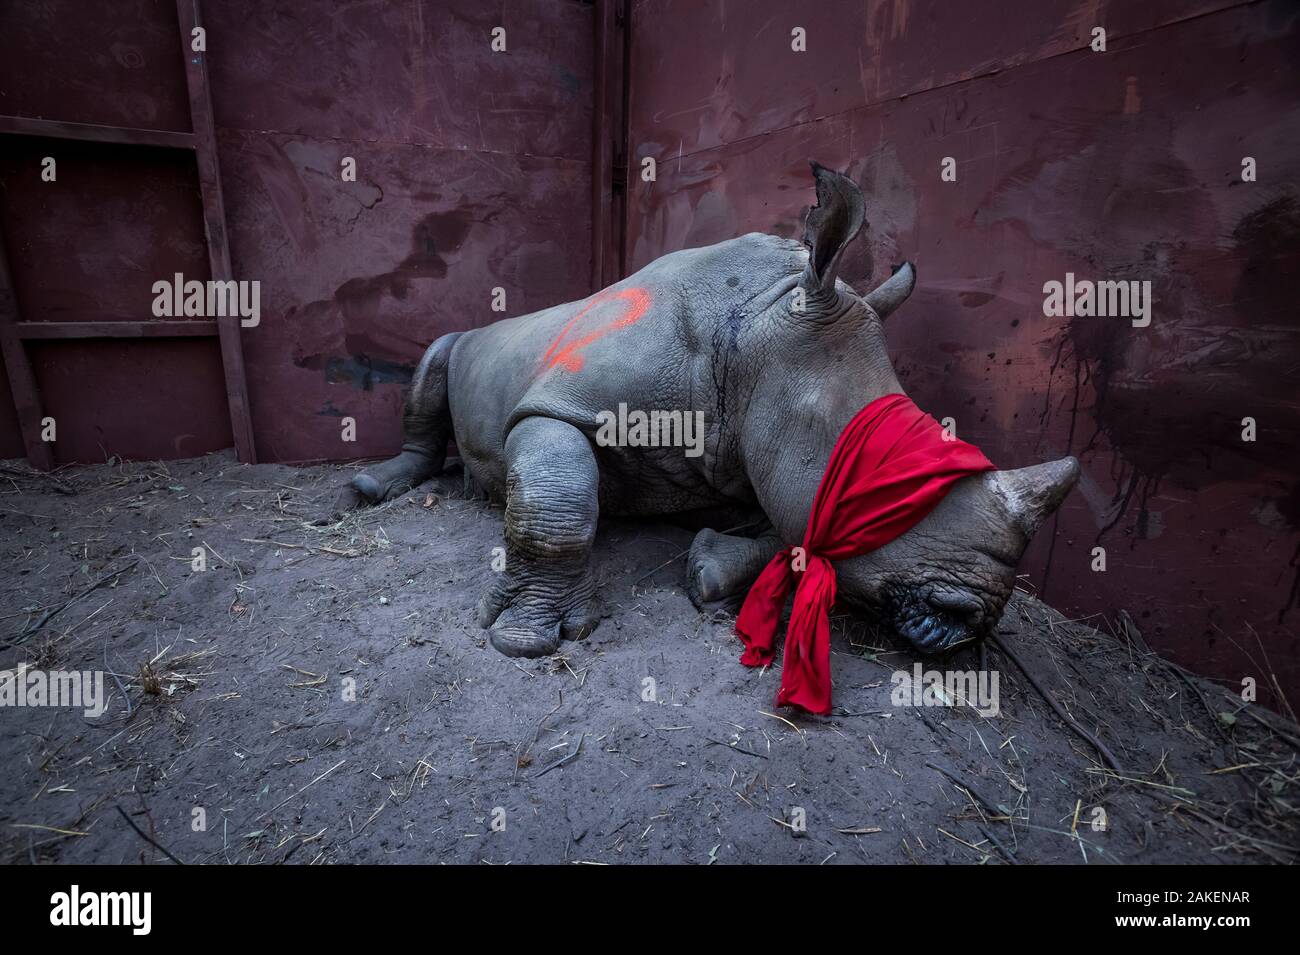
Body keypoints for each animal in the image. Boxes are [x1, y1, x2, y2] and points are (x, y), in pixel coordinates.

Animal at [332, 162, 1076, 657]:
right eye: (885, 478)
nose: (972, 616)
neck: (758, 329)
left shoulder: (758, 445)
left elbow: (787, 526)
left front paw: (709, 571)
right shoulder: (559, 406)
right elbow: (558, 506)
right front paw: (524, 636)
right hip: (467, 340)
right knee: (436, 355)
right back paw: (374, 487)